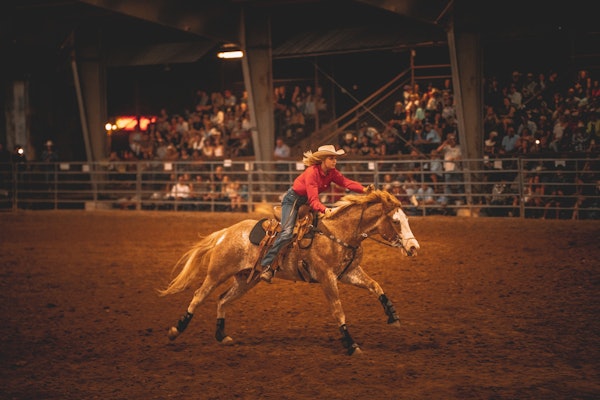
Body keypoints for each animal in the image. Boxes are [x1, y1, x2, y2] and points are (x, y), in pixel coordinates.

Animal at [158, 189, 420, 355]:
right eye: (396, 221)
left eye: (407, 218)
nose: (413, 247)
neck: (339, 233)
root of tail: (224, 233)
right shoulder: (327, 277)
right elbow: (338, 310)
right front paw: (350, 344)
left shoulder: (349, 272)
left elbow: (376, 286)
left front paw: (393, 315)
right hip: (217, 273)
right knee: (198, 297)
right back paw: (175, 330)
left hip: (246, 280)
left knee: (222, 299)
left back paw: (222, 336)